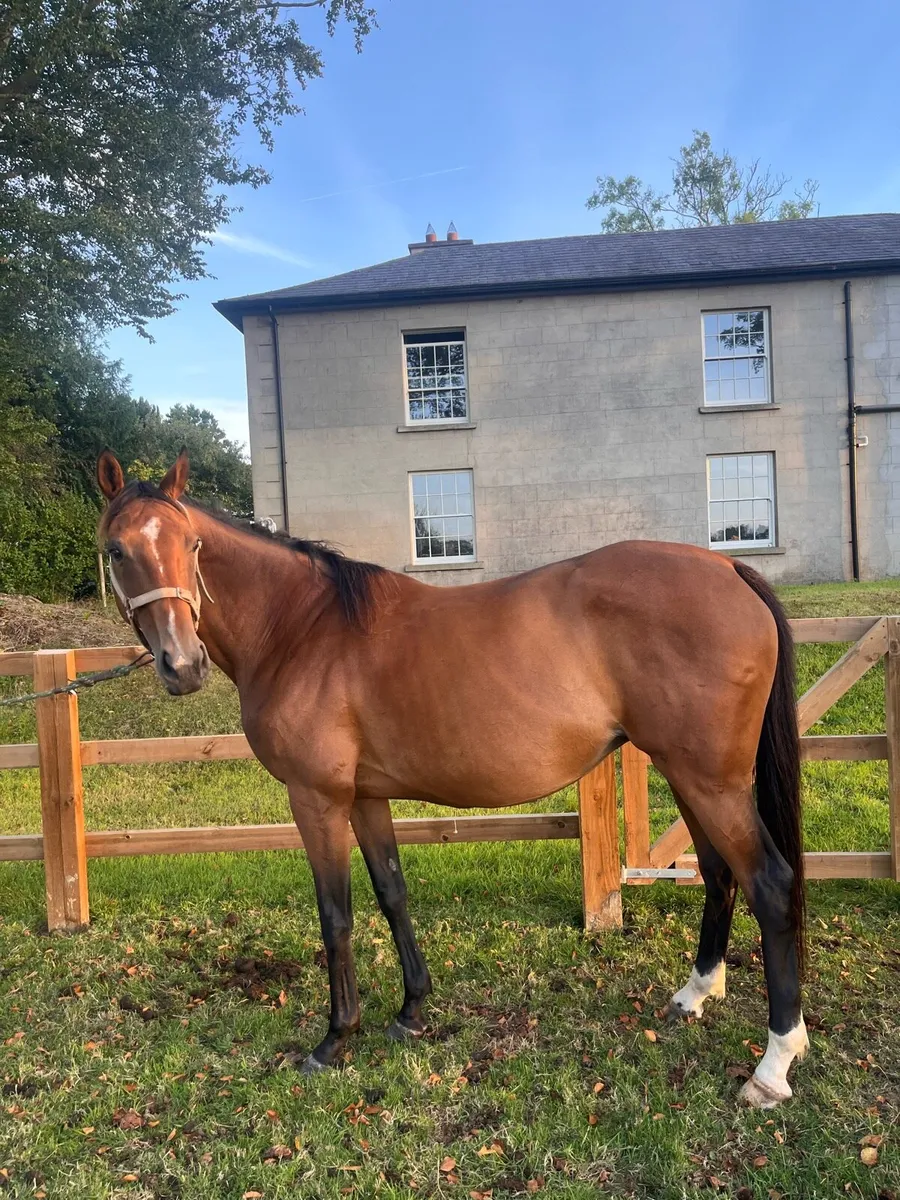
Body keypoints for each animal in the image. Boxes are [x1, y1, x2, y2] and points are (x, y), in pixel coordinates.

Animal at [96, 449, 807, 1108]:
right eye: (117, 550)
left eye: (191, 546)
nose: (182, 665)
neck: (301, 629)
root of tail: (726, 566)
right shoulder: (365, 797)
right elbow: (391, 893)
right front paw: (411, 1012)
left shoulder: (316, 799)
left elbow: (336, 913)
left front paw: (334, 1038)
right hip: (688, 775)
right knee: (719, 873)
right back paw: (695, 992)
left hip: (710, 781)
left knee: (769, 884)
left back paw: (773, 1065)